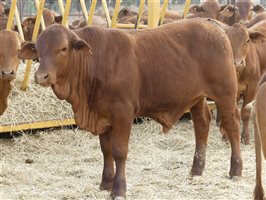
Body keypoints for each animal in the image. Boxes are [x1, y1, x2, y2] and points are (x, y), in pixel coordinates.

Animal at [18, 18, 243, 198]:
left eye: (63, 48)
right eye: (38, 49)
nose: (41, 76)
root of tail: (213, 26)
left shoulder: (123, 114)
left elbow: (119, 152)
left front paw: (118, 189)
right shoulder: (103, 114)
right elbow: (106, 150)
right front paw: (105, 183)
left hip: (225, 94)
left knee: (232, 126)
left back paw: (236, 170)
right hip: (196, 97)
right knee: (202, 125)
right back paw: (196, 170)